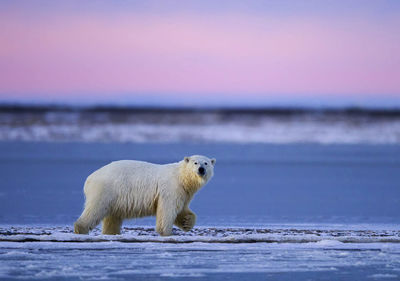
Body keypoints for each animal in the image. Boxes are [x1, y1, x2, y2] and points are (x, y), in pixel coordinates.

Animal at [73, 154, 214, 235]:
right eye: (195, 162)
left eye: (206, 163)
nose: (201, 169)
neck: (181, 177)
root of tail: (89, 178)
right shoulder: (171, 188)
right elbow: (167, 209)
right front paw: (166, 232)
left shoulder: (184, 192)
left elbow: (181, 209)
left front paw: (186, 223)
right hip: (106, 189)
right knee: (95, 209)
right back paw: (80, 229)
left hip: (115, 196)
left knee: (112, 218)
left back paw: (112, 233)